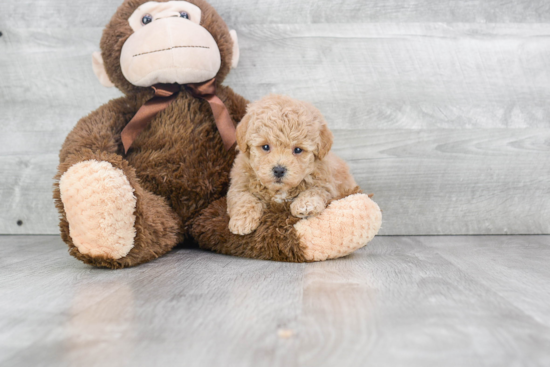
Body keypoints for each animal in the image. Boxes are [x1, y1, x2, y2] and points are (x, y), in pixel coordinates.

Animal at [227, 93, 358, 234]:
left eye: (298, 150)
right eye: (266, 147)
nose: (279, 170)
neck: (279, 190)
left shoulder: (327, 184)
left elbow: (316, 190)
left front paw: (305, 205)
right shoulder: (239, 183)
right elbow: (244, 198)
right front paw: (242, 220)